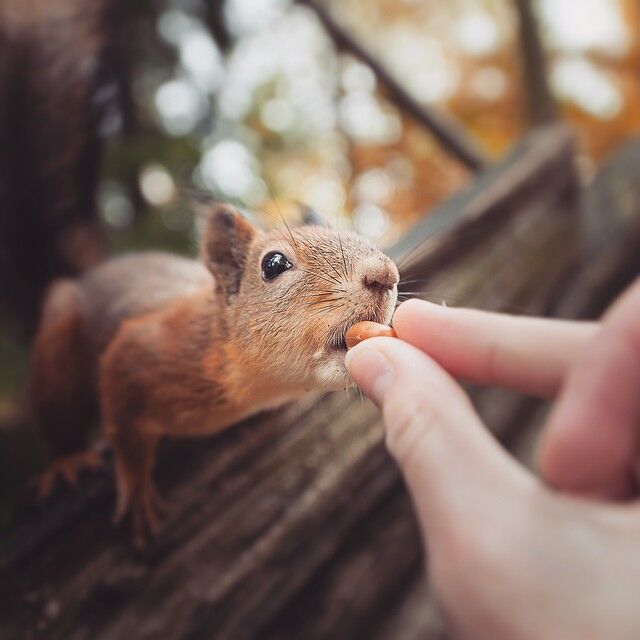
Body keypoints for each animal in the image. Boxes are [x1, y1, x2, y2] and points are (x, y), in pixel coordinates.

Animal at [31, 200, 400, 544]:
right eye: (273, 264)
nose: (385, 274)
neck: (254, 386)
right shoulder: (136, 352)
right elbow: (125, 427)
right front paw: (136, 490)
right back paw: (68, 461)